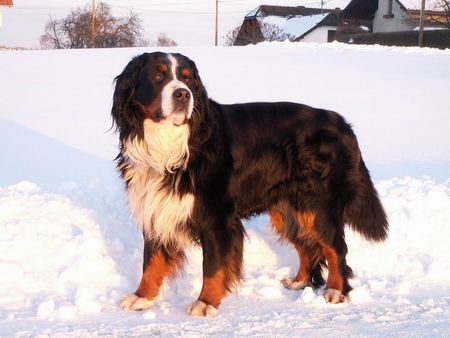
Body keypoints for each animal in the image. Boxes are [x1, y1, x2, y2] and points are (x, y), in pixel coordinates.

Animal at [110, 50, 388, 316]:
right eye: (158, 75)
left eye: (187, 78)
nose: (183, 94)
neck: (169, 143)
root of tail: (341, 121)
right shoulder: (155, 206)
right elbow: (151, 260)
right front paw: (142, 297)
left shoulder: (216, 218)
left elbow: (212, 266)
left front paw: (206, 302)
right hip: (288, 208)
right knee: (308, 246)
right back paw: (299, 281)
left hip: (318, 203)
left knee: (335, 248)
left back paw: (336, 291)